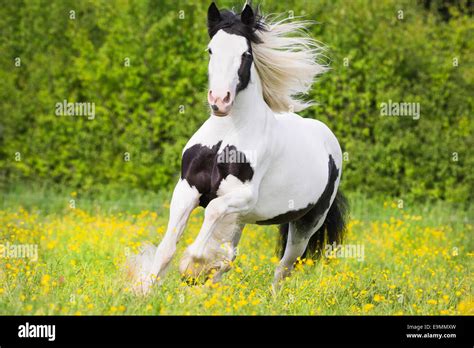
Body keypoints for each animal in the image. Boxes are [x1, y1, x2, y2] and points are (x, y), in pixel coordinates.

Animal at [130, 2, 348, 296]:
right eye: (211, 49)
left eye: (245, 53)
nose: (219, 101)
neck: (227, 133)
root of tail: (328, 140)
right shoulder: (187, 188)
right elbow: (167, 248)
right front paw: (144, 293)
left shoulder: (243, 195)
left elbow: (211, 212)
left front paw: (192, 267)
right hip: (240, 219)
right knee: (230, 257)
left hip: (306, 222)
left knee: (284, 266)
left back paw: (271, 299)